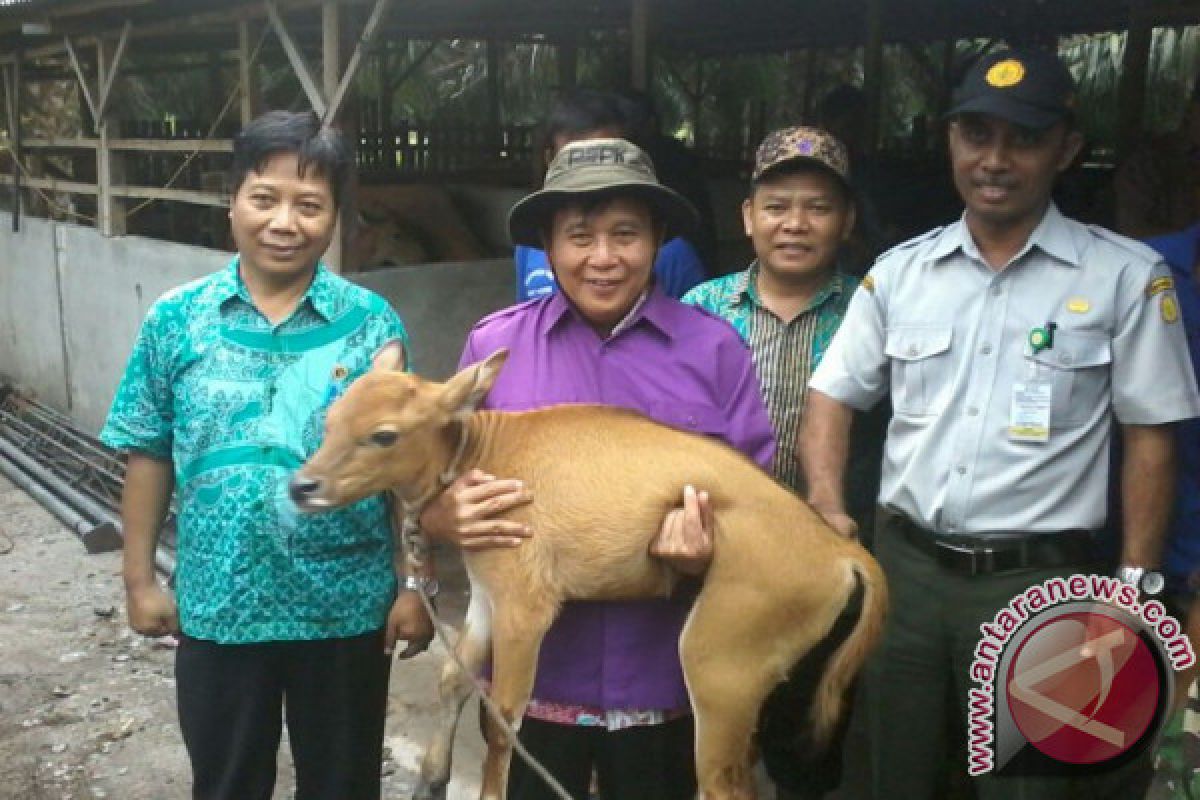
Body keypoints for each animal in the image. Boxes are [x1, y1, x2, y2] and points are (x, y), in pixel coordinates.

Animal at [292, 345, 892, 800]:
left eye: (384, 434)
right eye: (331, 420)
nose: (302, 486)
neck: (485, 452)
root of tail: (840, 549)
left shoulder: (526, 608)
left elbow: (505, 721)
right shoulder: (486, 595)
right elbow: (453, 679)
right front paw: (431, 778)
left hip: (720, 663)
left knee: (723, 784)